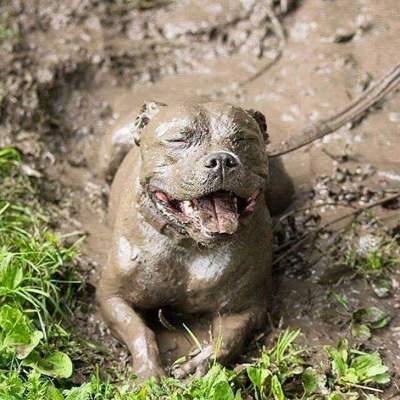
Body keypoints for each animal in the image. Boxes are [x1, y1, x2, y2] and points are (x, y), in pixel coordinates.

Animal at [97, 101, 294, 382]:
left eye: (242, 139)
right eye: (179, 140)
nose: (222, 160)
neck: (189, 245)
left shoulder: (245, 309)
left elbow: (228, 339)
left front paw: (203, 364)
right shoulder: (111, 297)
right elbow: (139, 332)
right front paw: (149, 373)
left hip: (281, 189)